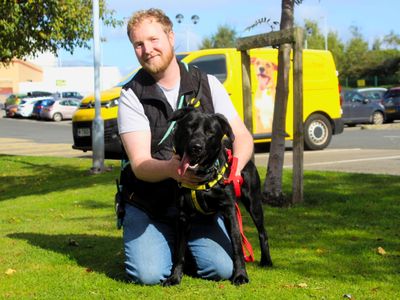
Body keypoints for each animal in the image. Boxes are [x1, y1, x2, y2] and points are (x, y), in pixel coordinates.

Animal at [162, 108, 272, 286]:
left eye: (210, 132)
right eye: (190, 127)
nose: (196, 147)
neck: (203, 177)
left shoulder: (230, 210)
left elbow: (237, 245)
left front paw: (240, 275)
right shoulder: (183, 216)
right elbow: (179, 251)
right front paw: (175, 277)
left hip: (254, 203)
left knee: (262, 232)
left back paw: (266, 261)